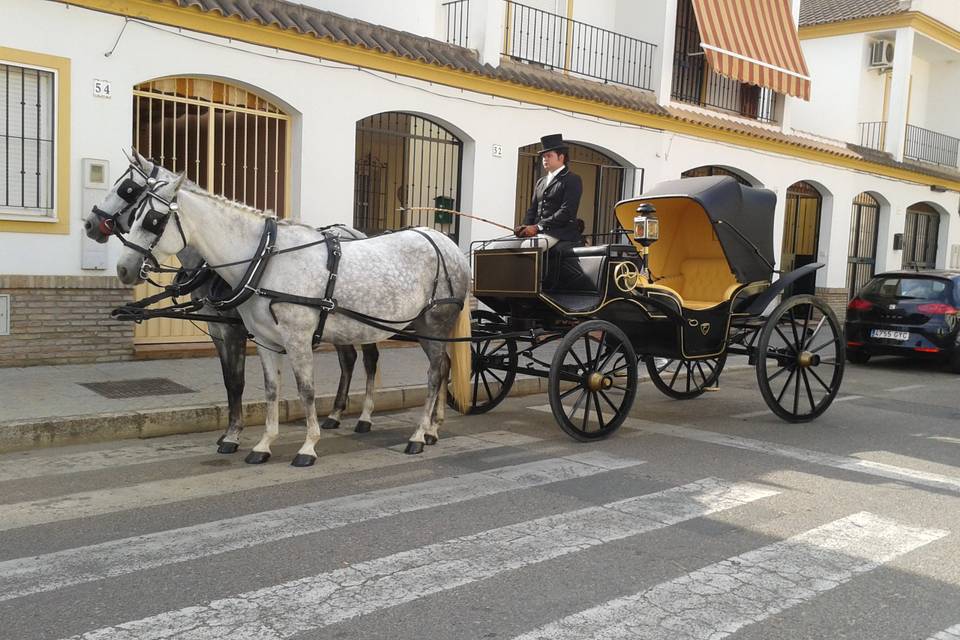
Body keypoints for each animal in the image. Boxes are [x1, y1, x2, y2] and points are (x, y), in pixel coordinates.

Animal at [84, 153, 380, 456]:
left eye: (127, 188)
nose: (91, 224)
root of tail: (355, 232)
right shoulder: (218, 330)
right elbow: (229, 380)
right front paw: (229, 432)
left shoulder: (234, 329)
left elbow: (237, 381)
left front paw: (233, 436)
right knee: (348, 359)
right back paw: (335, 413)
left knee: (369, 359)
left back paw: (364, 417)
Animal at [113, 164, 472, 464]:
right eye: (134, 209)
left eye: (152, 220)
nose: (123, 268)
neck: (265, 258)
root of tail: (446, 243)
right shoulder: (264, 340)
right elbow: (271, 389)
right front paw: (263, 444)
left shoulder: (296, 338)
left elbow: (305, 389)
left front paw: (308, 446)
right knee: (441, 367)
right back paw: (432, 429)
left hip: (434, 324)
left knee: (433, 373)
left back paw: (418, 435)